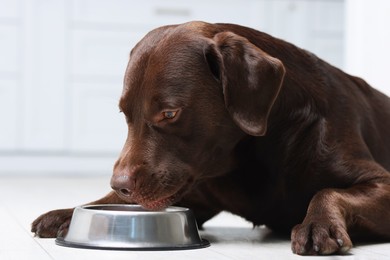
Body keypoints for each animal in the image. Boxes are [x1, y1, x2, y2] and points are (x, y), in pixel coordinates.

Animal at [32, 21, 390, 255]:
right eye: (124, 113)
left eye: (169, 114)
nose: (119, 183)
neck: (252, 158)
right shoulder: (196, 195)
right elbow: (108, 202)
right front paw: (68, 212)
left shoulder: (380, 181)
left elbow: (328, 191)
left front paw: (318, 225)